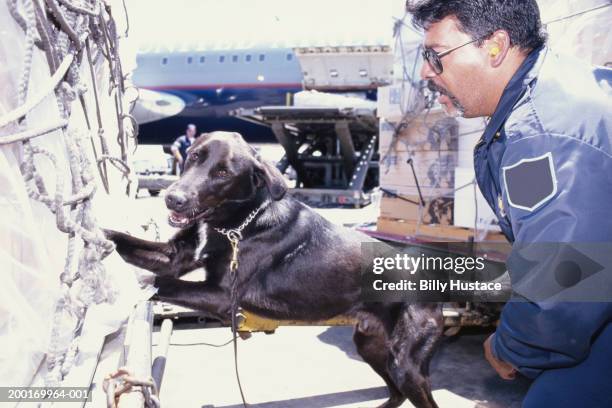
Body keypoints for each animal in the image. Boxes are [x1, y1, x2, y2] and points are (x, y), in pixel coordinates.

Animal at [104, 132, 440, 406]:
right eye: (194, 156)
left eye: (223, 173)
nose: (173, 199)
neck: (236, 223)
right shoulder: (175, 257)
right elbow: (122, 241)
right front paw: (98, 235)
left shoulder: (223, 295)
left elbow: (160, 281)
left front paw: (127, 287)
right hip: (371, 346)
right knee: (395, 395)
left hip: (405, 365)